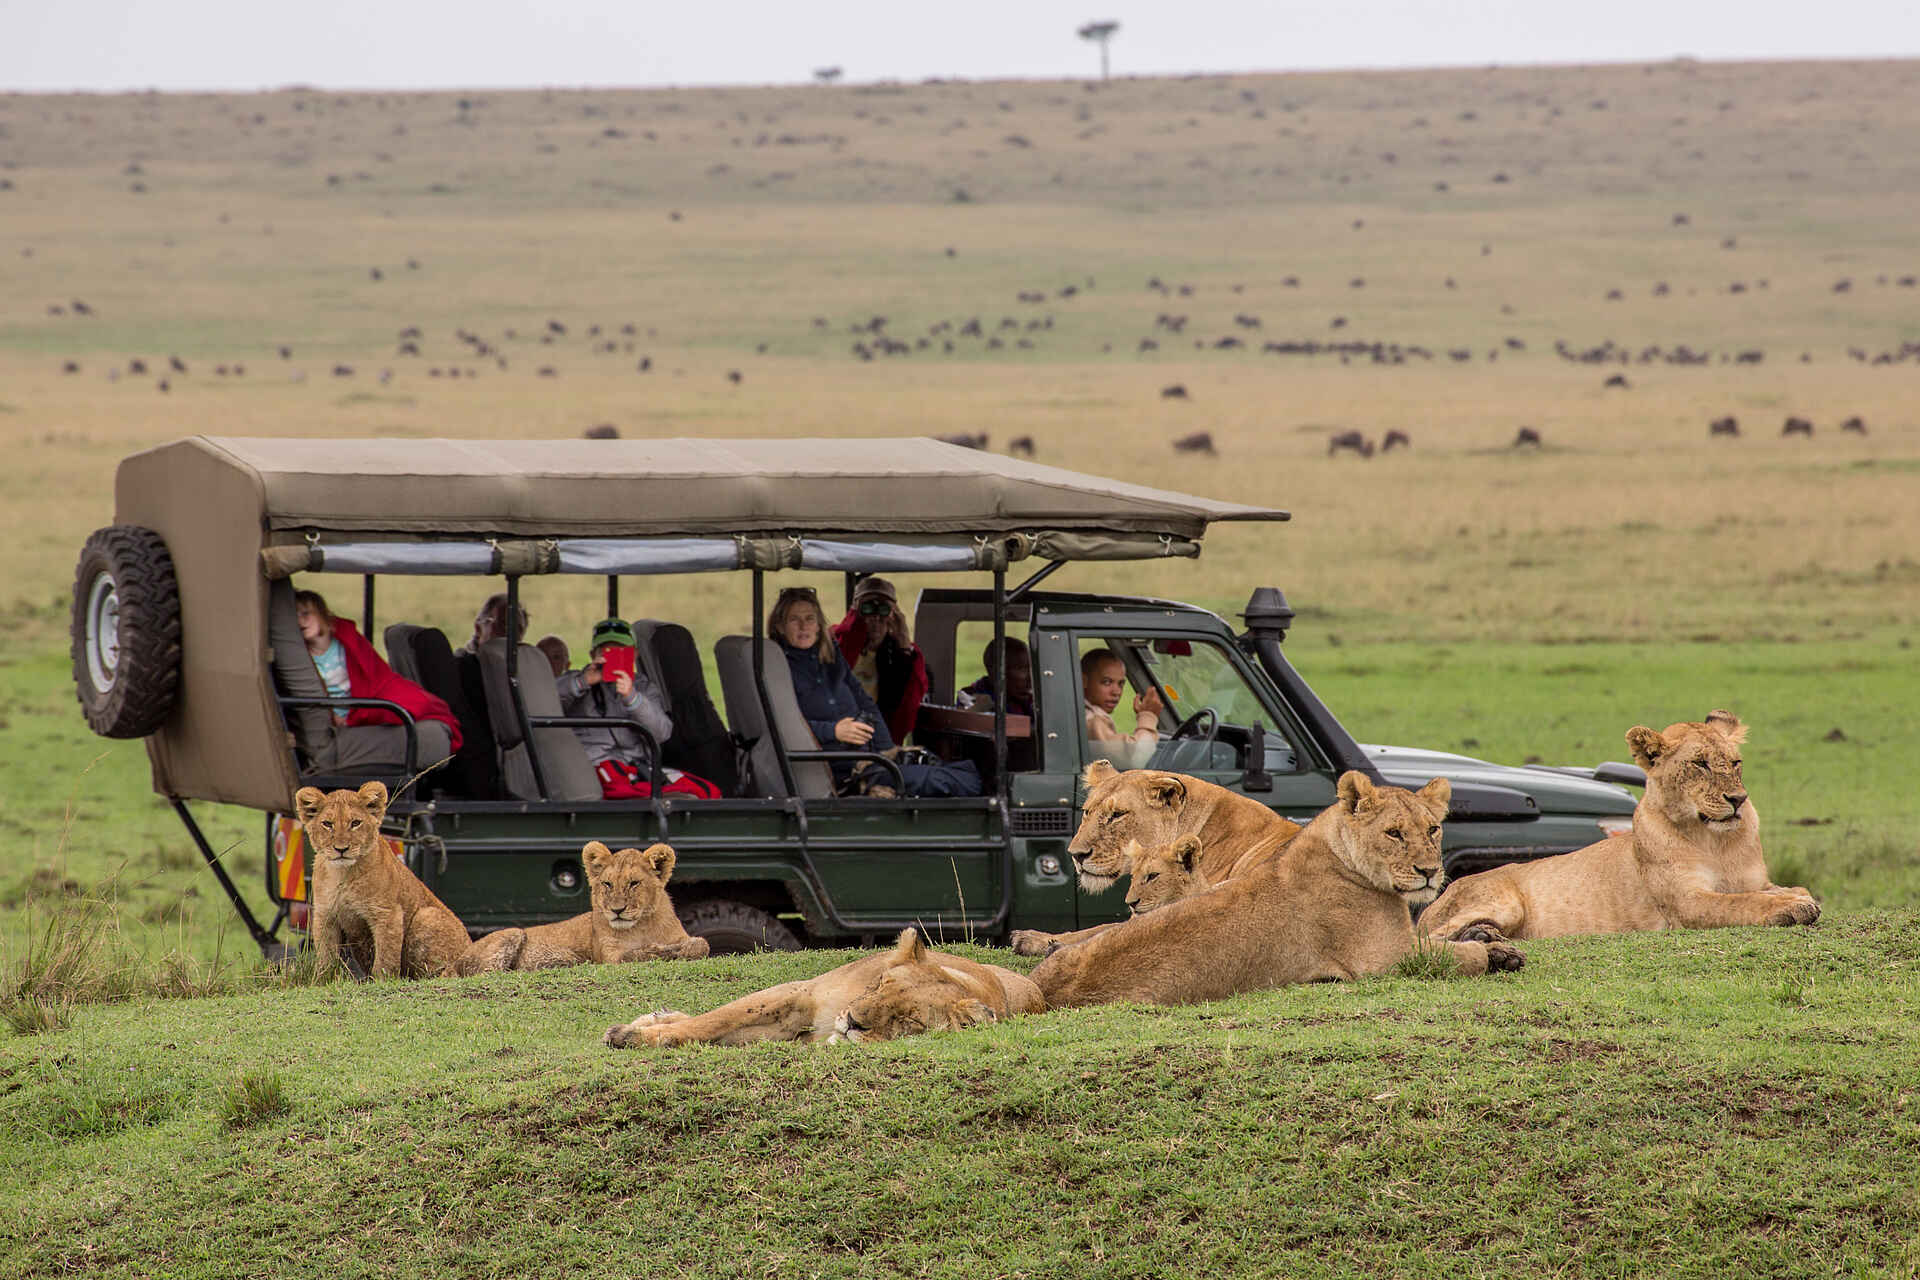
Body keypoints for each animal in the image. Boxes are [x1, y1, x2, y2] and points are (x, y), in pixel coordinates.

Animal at [294, 781, 470, 979]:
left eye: (355, 823)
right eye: (327, 824)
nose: (341, 849)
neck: (342, 874)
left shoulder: (387, 914)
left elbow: (385, 958)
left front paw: (381, 980)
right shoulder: (326, 915)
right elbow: (326, 956)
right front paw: (323, 979)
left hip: (427, 916)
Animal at [453, 841, 709, 976]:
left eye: (634, 883)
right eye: (607, 884)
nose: (617, 910)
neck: (642, 926)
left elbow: (702, 945)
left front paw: (677, 949)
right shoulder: (609, 957)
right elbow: (632, 955)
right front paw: (660, 951)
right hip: (512, 933)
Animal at [604, 927, 1044, 1048]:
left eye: (910, 1021)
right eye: (881, 983)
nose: (852, 1021)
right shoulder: (799, 994)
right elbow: (711, 1022)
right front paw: (630, 1034)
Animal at [1032, 772, 1524, 1009]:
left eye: (1433, 829)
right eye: (1394, 833)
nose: (1430, 871)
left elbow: (1450, 940)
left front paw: (1493, 942)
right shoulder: (1383, 960)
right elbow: (1457, 957)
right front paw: (1492, 953)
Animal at [1418, 710, 1819, 942]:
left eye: (1735, 763)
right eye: (1700, 764)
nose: (1738, 799)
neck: (1716, 842)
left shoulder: (1755, 879)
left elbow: (1779, 888)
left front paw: (1797, 897)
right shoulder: (1685, 903)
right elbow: (1741, 902)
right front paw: (1792, 908)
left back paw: (1485, 936)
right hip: (1502, 902)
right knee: (1431, 939)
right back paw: (1480, 938)